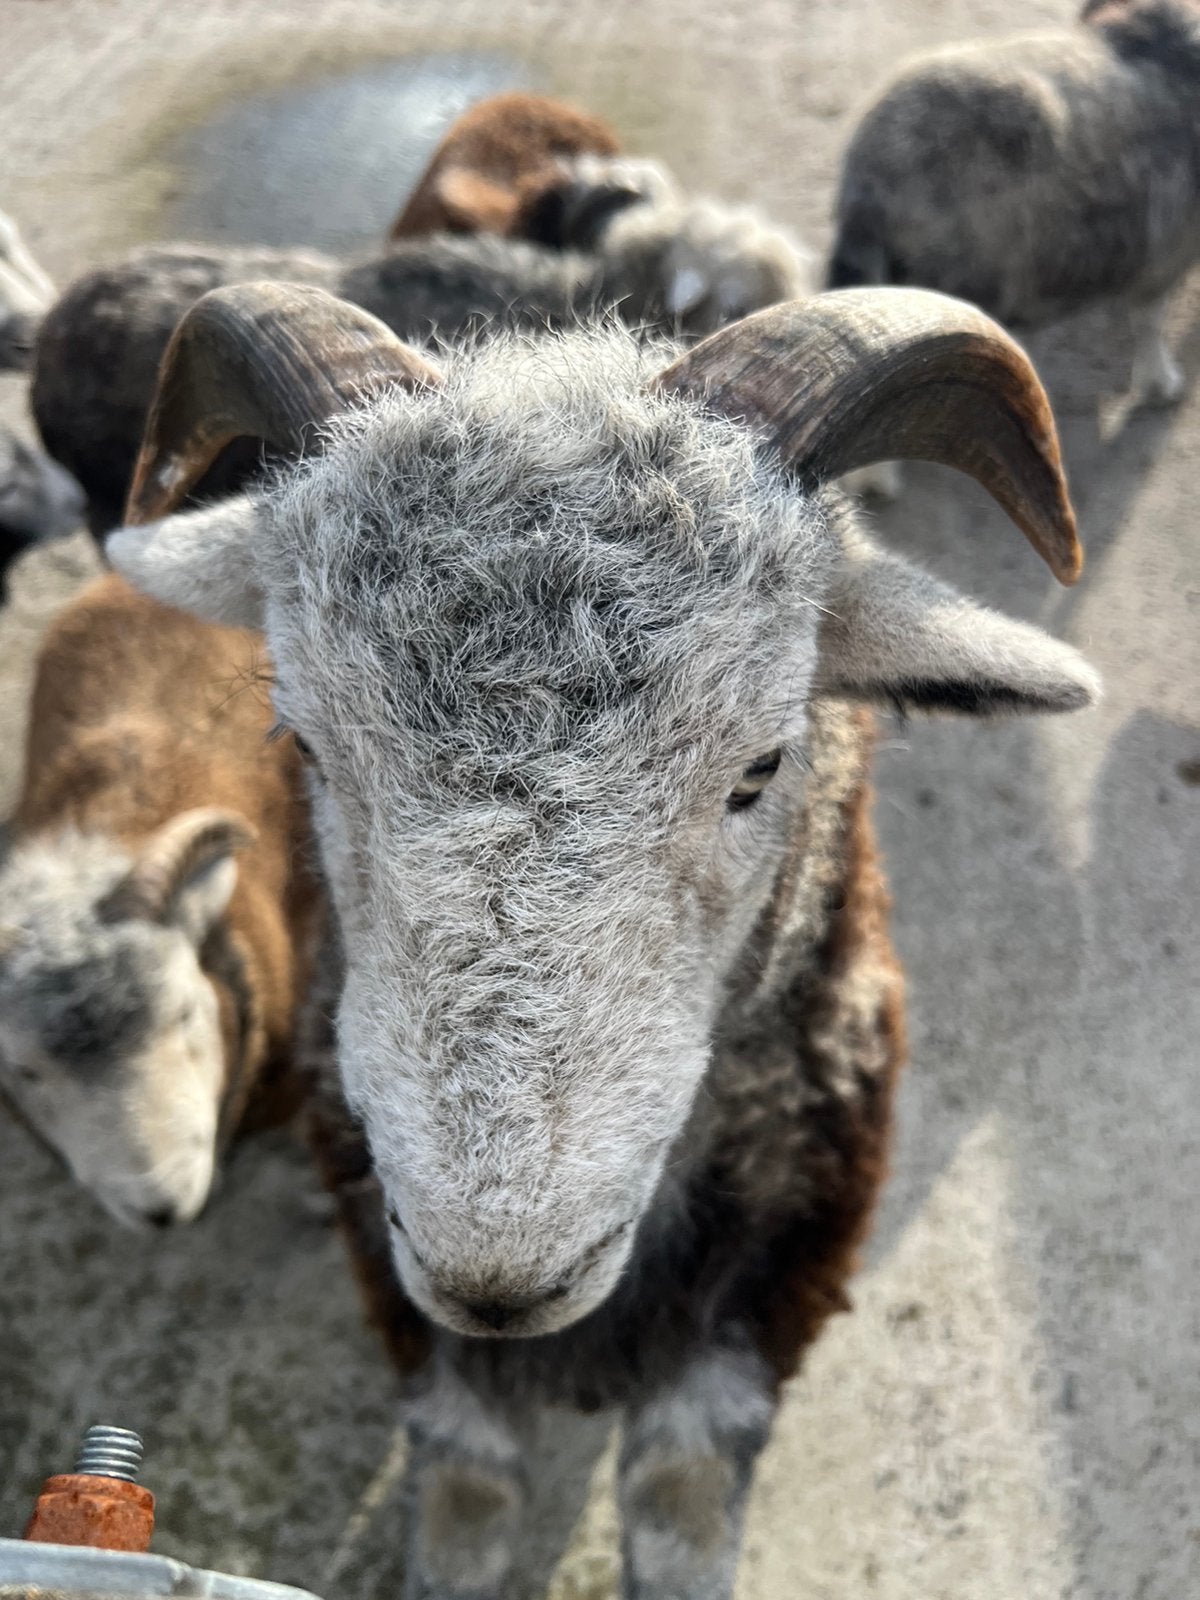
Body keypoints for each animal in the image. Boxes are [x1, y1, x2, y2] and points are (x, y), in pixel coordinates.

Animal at [108, 277, 1098, 1596]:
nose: (495, 1274)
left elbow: (679, 1494)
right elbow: (468, 1494)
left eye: (761, 766)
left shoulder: (791, 1244)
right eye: (306, 745)